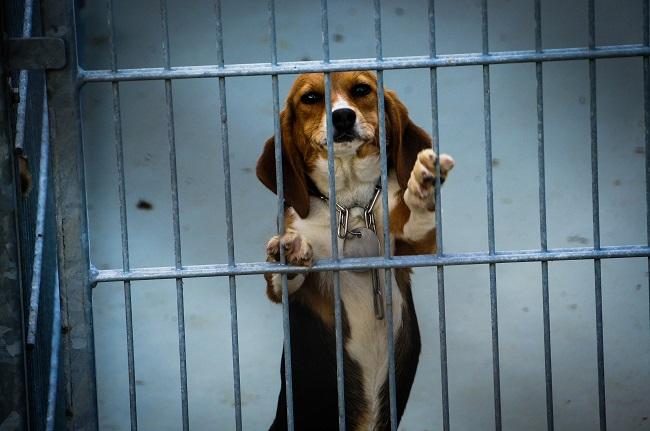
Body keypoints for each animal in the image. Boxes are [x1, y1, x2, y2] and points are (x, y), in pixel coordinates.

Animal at [256, 72, 454, 430]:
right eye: (310, 98)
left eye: (361, 89)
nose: (343, 117)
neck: (351, 203)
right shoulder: (293, 292)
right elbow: (282, 280)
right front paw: (289, 251)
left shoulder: (412, 248)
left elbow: (415, 219)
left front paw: (423, 187)